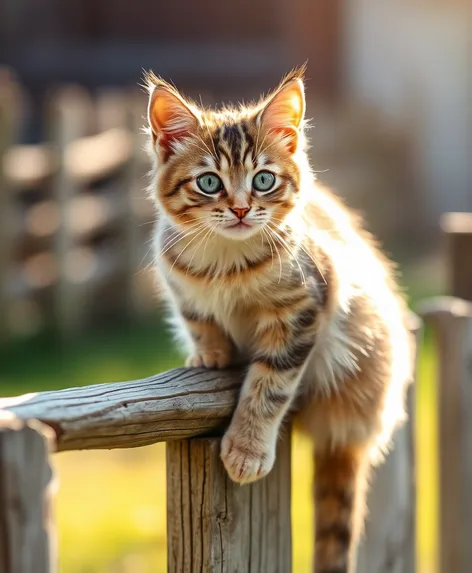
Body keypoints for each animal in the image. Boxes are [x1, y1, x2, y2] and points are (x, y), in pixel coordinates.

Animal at [146, 68, 414, 572]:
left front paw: (247, 449)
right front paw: (209, 353)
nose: (240, 208)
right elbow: (197, 319)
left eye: (264, 179)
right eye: (208, 182)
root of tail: (355, 431)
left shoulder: (307, 305)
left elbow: (269, 386)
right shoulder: (180, 286)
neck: (225, 265)